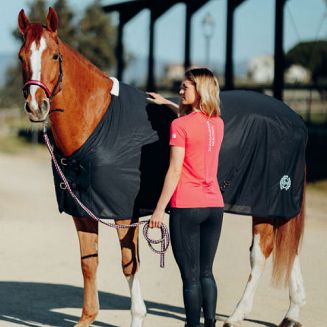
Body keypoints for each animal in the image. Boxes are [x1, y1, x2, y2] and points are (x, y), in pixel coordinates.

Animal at [18, 6, 308, 327]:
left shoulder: (124, 213)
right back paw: (292, 313)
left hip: (265, 201)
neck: (98, 121)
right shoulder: (82, 211)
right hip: (280, 203)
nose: (36, 107)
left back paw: (236, 315)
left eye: (55, 56)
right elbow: (88, 264)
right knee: (291, 247)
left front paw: (137, 317)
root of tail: (294, 119)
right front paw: (87, 318)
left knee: (261, 253)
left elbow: (129, 264)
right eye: (21, 56)